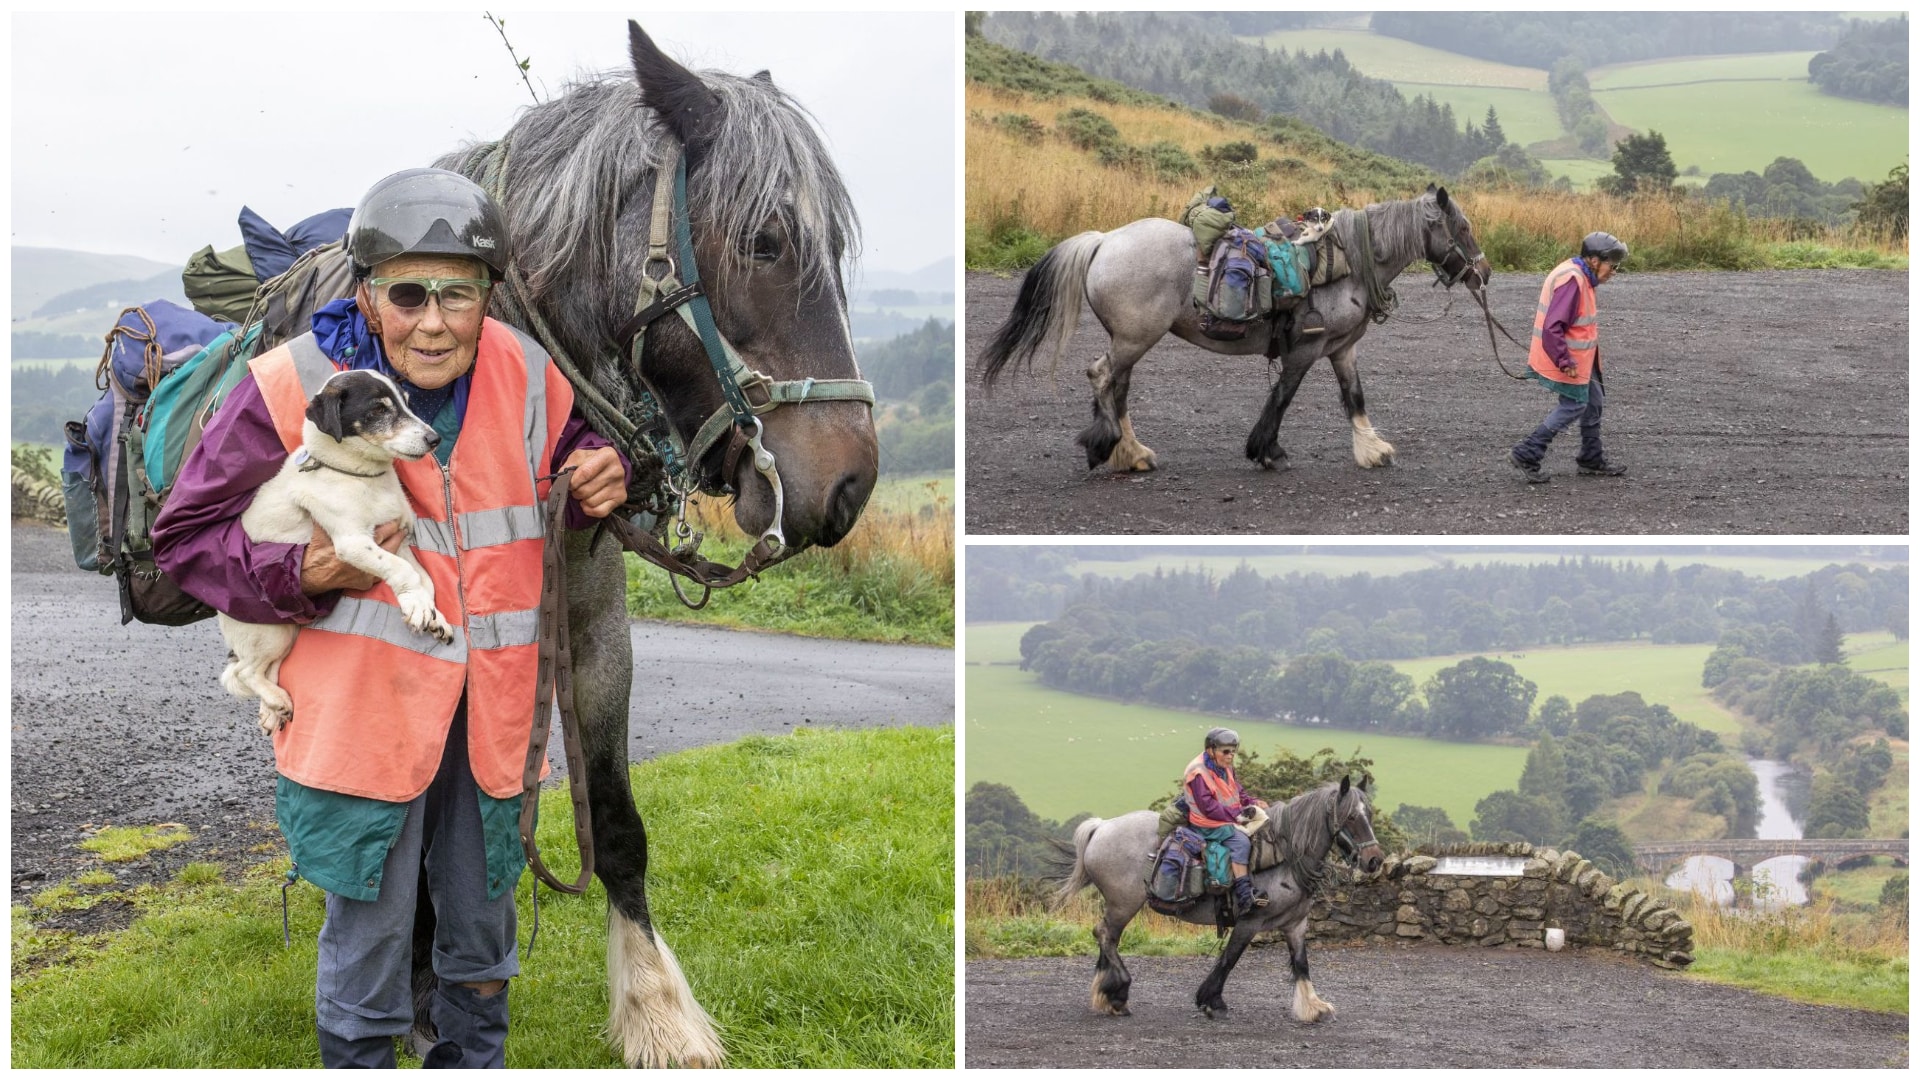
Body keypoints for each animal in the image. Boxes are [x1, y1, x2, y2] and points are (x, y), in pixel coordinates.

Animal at [218, 368, 456, 730]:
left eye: (407, 402)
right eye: (379, 409)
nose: (434, 440)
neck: (362, 478)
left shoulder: (399, 542)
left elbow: (423, 579)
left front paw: (431, 613)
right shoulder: (354, 542)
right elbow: (403, 572)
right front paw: (416, 606)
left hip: (287, 634)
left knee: (266, 670)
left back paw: (273, 708)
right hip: (269, 633)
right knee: (243, 673)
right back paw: (275, 700)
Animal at [983, 183, 1489, 466]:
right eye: (1463, 229)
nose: (1484, 273)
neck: (1348, 263)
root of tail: (1104, 240)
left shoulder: (1342, 348)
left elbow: (1354, 396)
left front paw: (1372, 450)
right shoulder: (1306, 348)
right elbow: (1282, 396)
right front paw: (1267, 451)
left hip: (1129, 339)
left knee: (1116, 386)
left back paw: (1132, 453)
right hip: (1134, 337)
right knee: (1101, 376)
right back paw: (1107, 445)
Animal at [1052, 772, 1382, 1014]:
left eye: (1369, 814)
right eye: (1351, 817)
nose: (1374, 860)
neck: (1285, 855)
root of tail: (1101, 828)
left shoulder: (1295, 925)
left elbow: (1301, 963)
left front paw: (1313, 1006)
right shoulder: (1250, 921)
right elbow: (1229, 958)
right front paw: (1211, 1000)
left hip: (1118, 905)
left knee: (1108, 936)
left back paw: (1107, 994)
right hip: (1125, 903)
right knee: (1104, 935)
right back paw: (1119, 991)